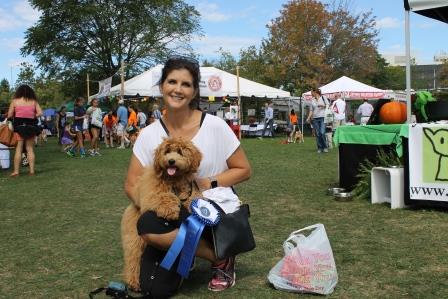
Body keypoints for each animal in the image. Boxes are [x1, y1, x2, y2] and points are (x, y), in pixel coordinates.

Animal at [121, 138, 201, 290]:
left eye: (180, 152)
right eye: (167, 151)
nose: (171, 161)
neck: (174, 180)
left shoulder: (187, 188)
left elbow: (193, 198)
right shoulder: (151, 192)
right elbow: (162, 197)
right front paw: (170, 210)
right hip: (134, 239)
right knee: (133, 259)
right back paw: (133, 282)